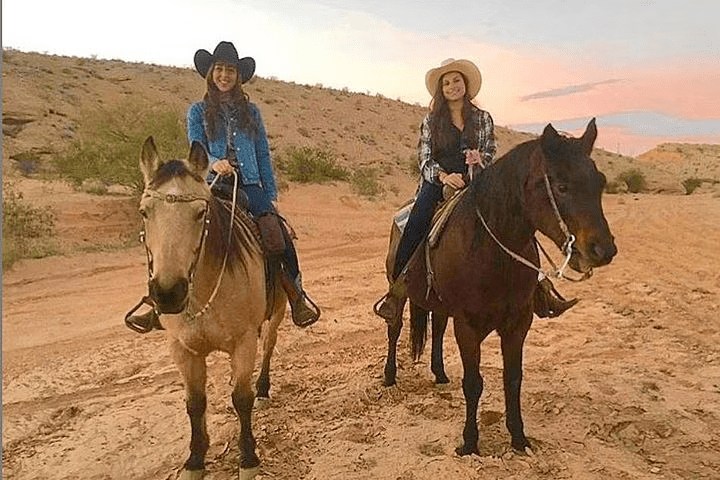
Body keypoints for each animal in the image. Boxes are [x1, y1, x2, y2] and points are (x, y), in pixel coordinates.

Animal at [139, 137, 286, 478]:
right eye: (144, 212)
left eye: (200, 212)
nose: (168, 293)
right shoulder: (183, 349)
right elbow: (195, 403)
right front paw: (195, 458)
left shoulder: (244, 342)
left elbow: (242, 399)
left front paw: (248, 458)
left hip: (278, 312)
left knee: (269, 346)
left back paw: (263, 389)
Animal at [400, 119, 612, 454]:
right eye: (562, 186)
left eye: (600, 183)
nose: (603, 250)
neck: (492, 251)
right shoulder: (467, 325)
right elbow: (473, 383)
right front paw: (469, 443)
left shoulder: (518, 322)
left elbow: (513, 379)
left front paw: (519, 438)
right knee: (393, 326)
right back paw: (388, 376)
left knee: (437, 329)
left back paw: (440, 373)